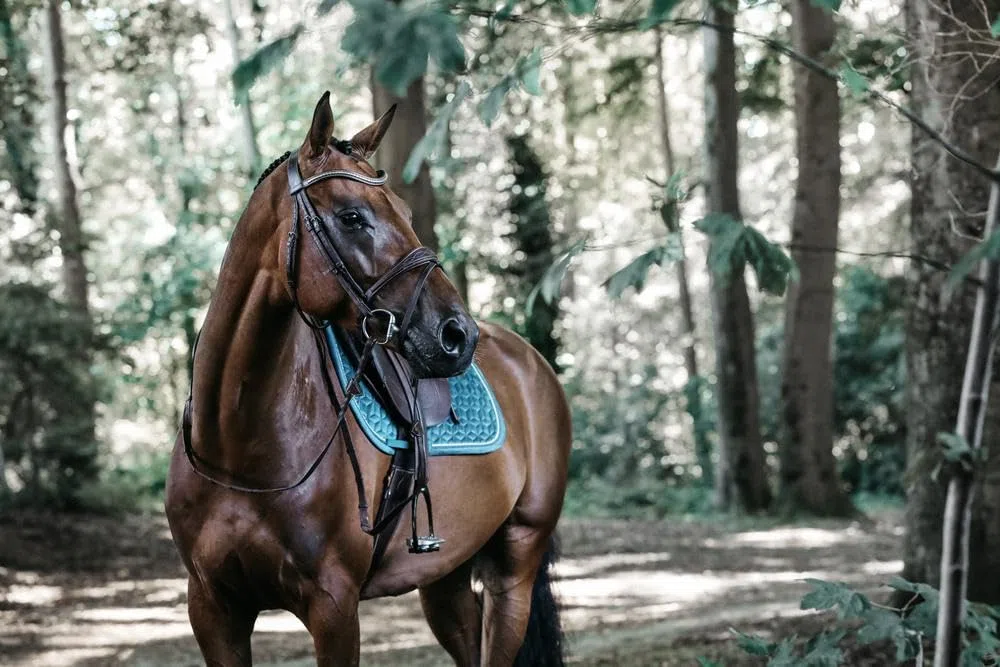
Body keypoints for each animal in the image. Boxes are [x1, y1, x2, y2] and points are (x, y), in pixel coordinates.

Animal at [165, 92, 571, 667]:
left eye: (404, 212)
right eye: (352, 216)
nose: (457, 335)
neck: (239, 448)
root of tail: (530, 361)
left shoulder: (334, 608)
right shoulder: (213, 608)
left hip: (514, 569)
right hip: (445, 577)